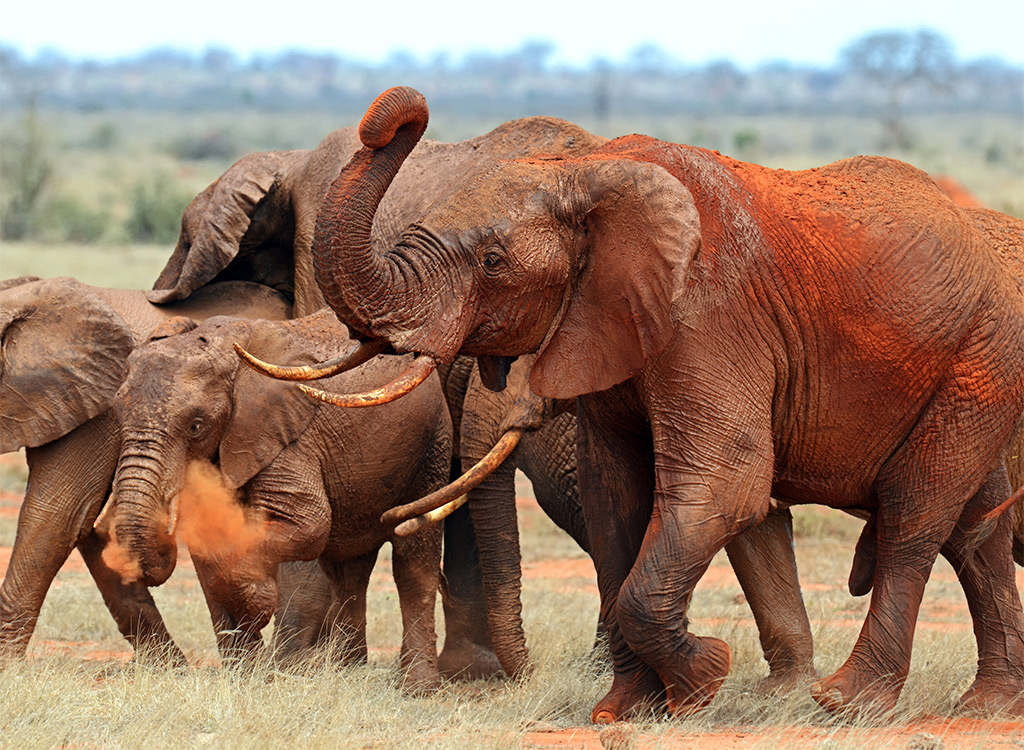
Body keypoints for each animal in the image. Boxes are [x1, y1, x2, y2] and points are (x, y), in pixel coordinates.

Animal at [104, 311, 452, 692]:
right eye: (117, 417)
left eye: (196, 426)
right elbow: (208, 544)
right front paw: (244, 676)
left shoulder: (284, 438)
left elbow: (308, 525)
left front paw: (255, 603)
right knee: (348, 570)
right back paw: (342, 669)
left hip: (433, 445)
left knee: (413, 560)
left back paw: (417, 688)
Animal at [280, 88, 1024, 721]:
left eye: (492, 261)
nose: (397, 114)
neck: (586, 172)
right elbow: (615, 497)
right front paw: (624, 710)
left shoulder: (710, 315)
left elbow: (726, 482)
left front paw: (705, 680)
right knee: (973, 530)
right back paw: (987, 705)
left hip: (980, 354)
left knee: (914, 513)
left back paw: (849, 702)